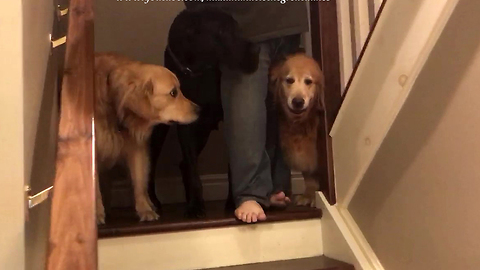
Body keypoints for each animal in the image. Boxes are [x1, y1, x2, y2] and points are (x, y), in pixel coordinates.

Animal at [94, 52, 200, 224]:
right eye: (173, 93)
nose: (199, 109)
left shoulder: (137, 147)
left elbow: (139, 182)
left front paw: (145, 210)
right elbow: (95, 188)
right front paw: (97, 214)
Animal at [149, 7, 258, 218]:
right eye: (223, 32)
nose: (256, 51)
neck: (199, 70)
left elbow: (232, 165)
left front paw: (232, 202)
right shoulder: (187, 127)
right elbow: (193, 170)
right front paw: (195, 207)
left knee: (182, 164)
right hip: (158, 134)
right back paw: (154, 201)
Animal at [270, 53, 326, 209]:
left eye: (308, 81)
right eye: (289, 80)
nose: (298, 102)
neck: (301, 123)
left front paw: (313, 197)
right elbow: (309, 178)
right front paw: (309, 195)